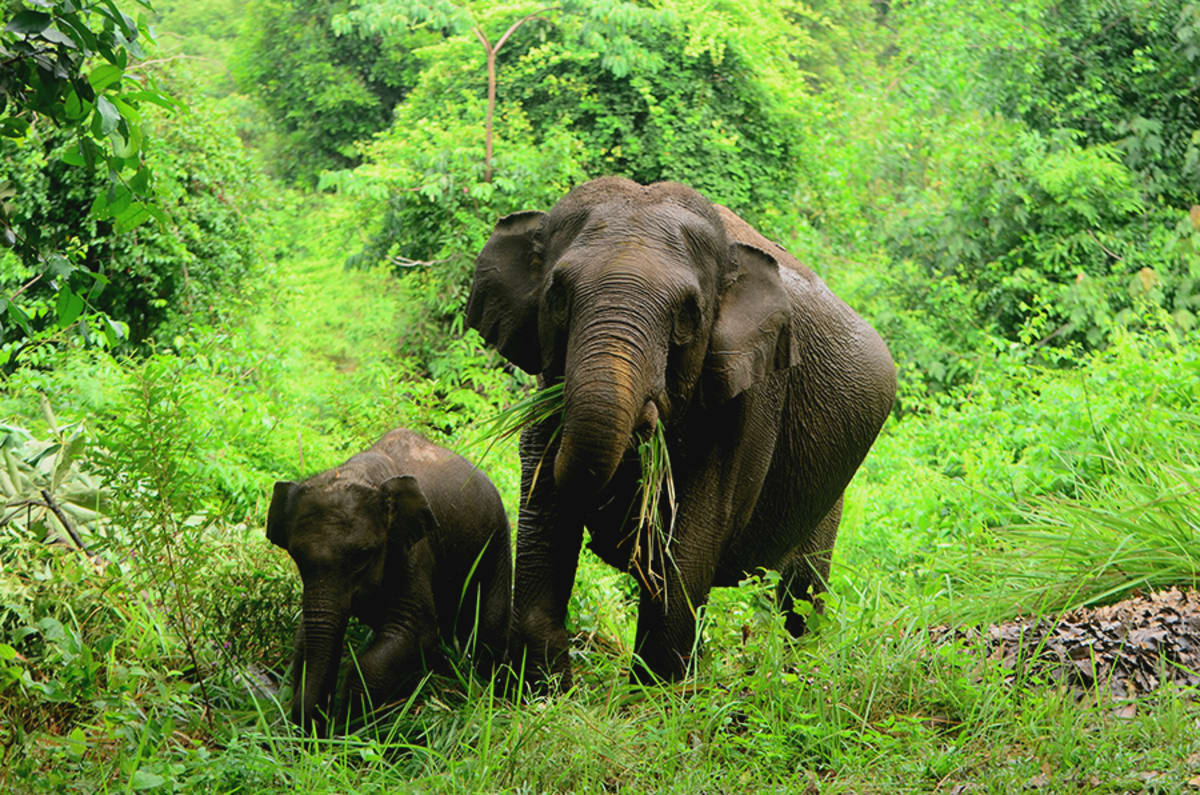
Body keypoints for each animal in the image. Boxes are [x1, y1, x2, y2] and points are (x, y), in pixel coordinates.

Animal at [266, 429, 511, 731]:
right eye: (296, 556)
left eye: (363, 555)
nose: (311, 724)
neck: (358, 474)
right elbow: (308, 637)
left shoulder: (413, 551)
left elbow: (415, 632)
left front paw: (351, 727)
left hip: (498, 543)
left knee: (490, 627)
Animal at [466, 177, 895, 686]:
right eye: (558, 294)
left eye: (688, 314)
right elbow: (544, 507)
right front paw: (542, 691)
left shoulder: (749, 397)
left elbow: (689, 544)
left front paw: (655, 698)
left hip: (830, 494)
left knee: (803, 591)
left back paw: (796, 675)